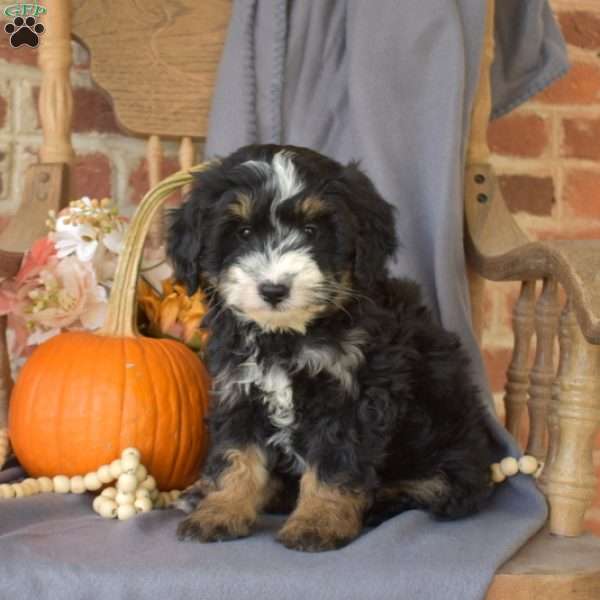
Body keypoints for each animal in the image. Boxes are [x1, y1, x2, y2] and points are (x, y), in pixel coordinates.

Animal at [166, 143, 494, 552]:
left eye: (311, 231)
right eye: (243, 232)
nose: (273, 289)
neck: (286, 336)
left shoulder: (352, 394)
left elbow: (335, 462)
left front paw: (318, 521)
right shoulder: (238, 389)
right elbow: (237, 455)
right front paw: (219, 510)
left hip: (451, 452)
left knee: (434, 489)